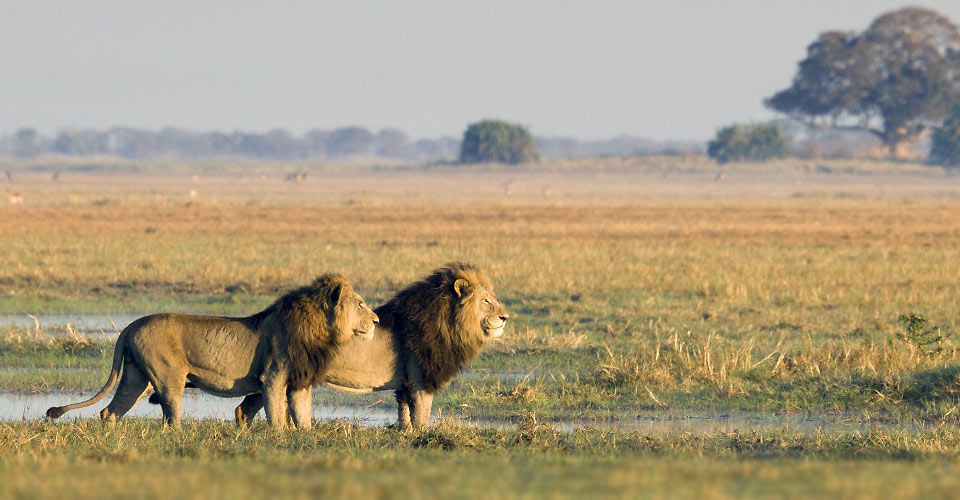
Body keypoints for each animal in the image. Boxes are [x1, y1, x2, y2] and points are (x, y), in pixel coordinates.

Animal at [47, 274, 378, 430]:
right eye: (361, 304)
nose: (376, 321)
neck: (321, 328)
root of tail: (132, 325)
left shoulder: (299, 381)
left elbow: (303, 416)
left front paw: (302, 437)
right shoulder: (273, 377)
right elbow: (276, 415)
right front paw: (279, 437)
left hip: (134, 376)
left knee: (110, 410)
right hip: (167, 376)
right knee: (171, 415)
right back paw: (177, 437)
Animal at [230, 264, 510, 432]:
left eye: (493, 299)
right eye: (486, 301)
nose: (505, 317)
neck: (449, 322)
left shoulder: (406, 383)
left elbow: (405, 414)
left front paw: (405, 434)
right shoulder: (421, 379)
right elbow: (421, 415)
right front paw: (423, 436)